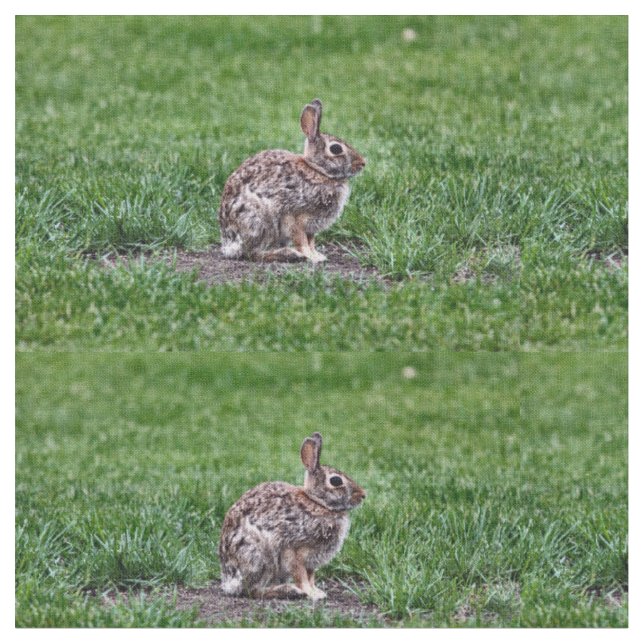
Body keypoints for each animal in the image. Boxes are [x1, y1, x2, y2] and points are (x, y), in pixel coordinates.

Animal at [218, 99, 366, 263]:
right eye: (335, 149)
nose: (362, 163)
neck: (318, 171)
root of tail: (229, 245)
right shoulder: (295, 218)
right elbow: (301, 241)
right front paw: (311, 257)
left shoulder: (311, 227)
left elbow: (311, 241)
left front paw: (318, 256)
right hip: (261, 221)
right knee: (253, 253)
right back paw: (289, 254)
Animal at [218, 432, 366, 600]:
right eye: (335, 480)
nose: (363, 495)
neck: (318, 503)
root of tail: (229, 582)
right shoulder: (294, 552)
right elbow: (301, 576)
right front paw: (311, 594)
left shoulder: (311, 562)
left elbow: (310, 577)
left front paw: (318, 592)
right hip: (261, 557)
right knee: (253, 590)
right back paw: (290, 591)